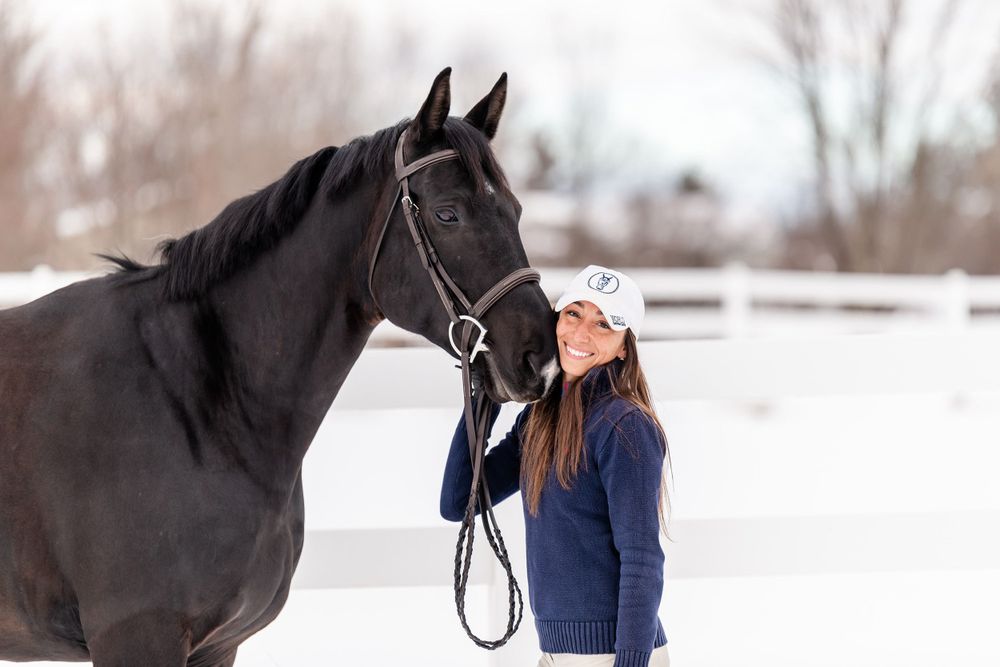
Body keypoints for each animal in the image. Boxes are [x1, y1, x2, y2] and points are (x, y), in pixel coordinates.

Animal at [0, 68, 559, 666]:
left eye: (516, 212)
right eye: (447, 213)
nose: (540, 356)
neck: (190, 399)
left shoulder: (218, 647)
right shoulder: (136, 638)